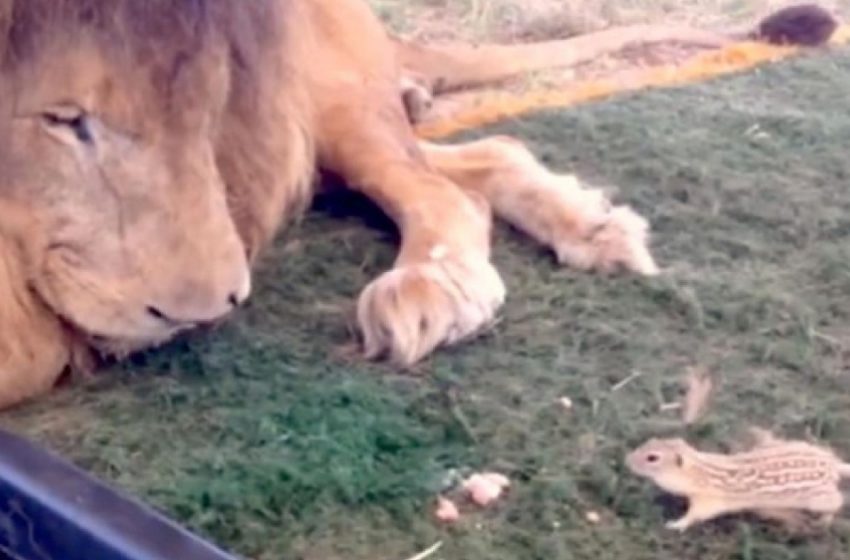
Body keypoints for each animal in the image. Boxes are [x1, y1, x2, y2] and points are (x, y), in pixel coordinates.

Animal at [0, 0, 832, 406]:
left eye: (211, 96)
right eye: (63, 120)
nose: (211, 311)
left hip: (325, 100)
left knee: (443, 190)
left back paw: (433, 287)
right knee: (488, 155)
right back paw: (593, 225)